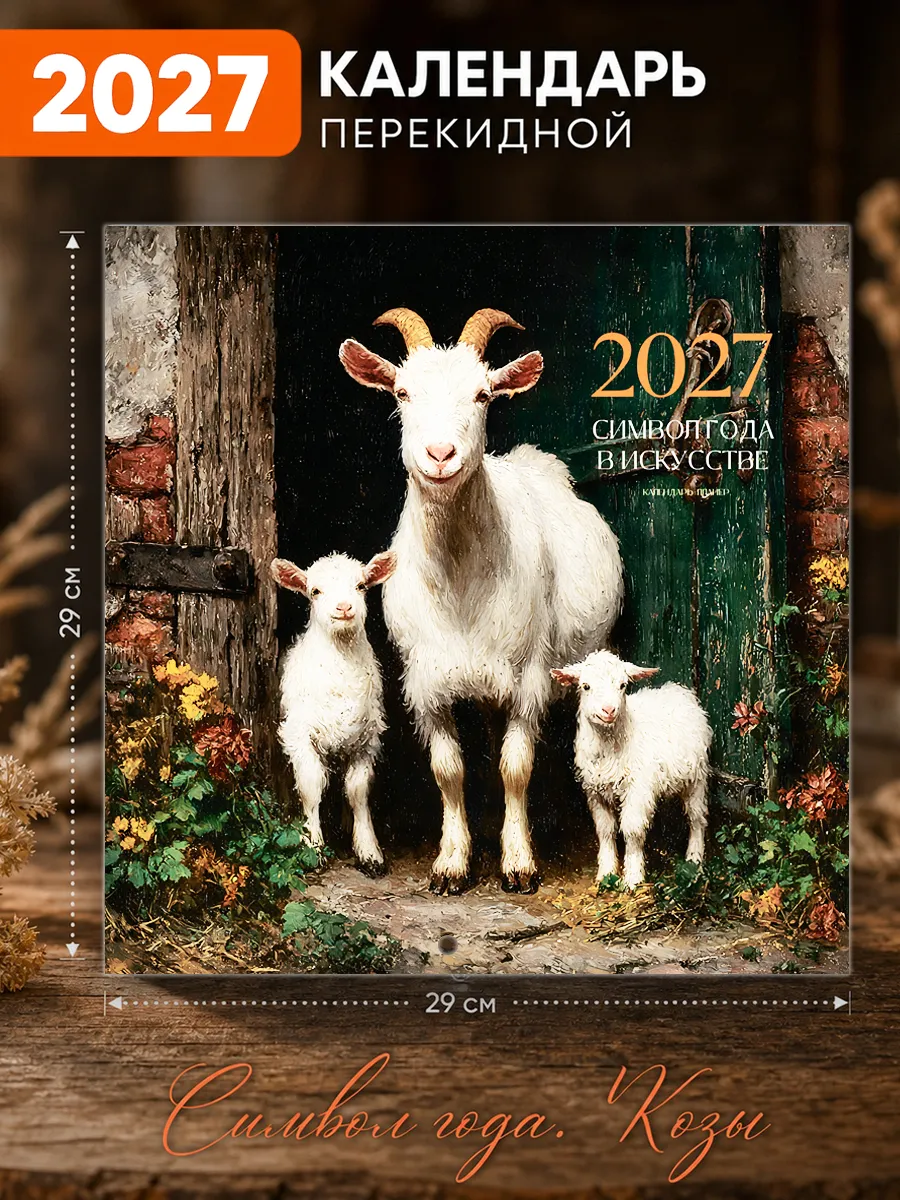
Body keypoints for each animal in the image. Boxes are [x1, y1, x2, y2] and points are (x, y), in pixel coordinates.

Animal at [271, 550, 396, 875]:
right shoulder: (300, 735)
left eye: (361, 586)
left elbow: (358, 791)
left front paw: (369, 850)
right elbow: (311, 786)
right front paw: (312, 843)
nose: (344, 607)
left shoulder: (367, 739)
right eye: (315, 591)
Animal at [340, 307, 623, 893]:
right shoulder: (427, 681)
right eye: (402, 392)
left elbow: (517, 766)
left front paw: (518, 862)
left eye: (483, 394)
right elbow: (449, 770)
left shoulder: (530, 675)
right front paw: (452, 861)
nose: (440, 455)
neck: (461, 586)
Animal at [551, 650, 711, 888]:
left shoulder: (638, 788)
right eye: (586, 686)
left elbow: (632, 829)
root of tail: (679, 690)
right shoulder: (595, 791)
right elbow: (605, 829)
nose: (609, 710)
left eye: (623, 685)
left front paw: (633, 876)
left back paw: (694, 859)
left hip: (697, 778)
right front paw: (606, 872)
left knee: (697, 818)